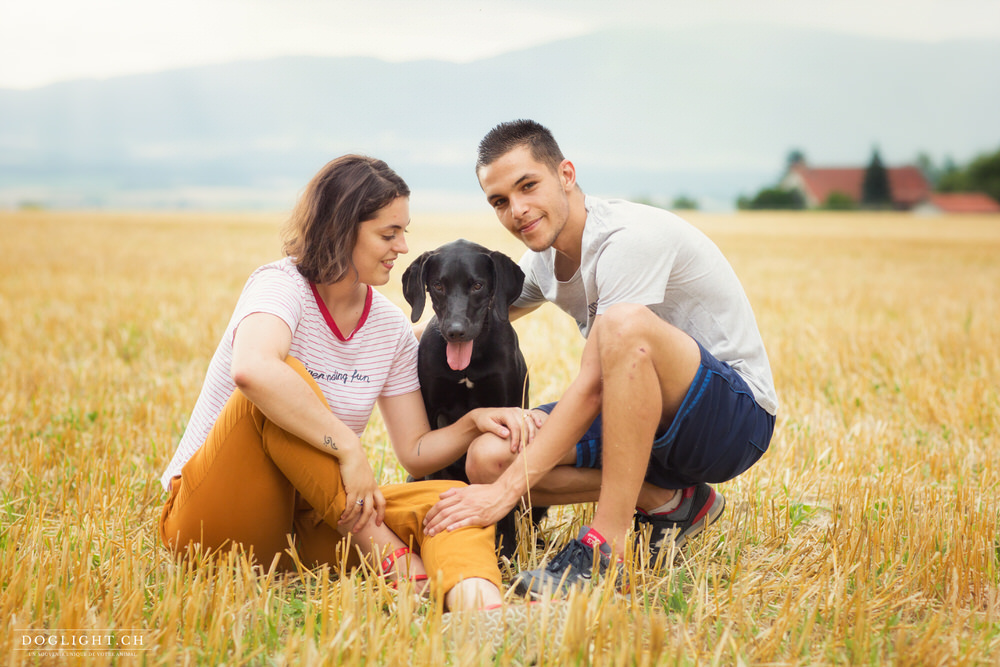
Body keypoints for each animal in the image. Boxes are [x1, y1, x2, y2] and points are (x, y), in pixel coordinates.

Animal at [400, 239, 548, 560]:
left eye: (478, 285)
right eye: (438, 285)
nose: (455, 332)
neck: (468, 365)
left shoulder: (508, 410)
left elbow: (504, 507)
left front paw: (507, 553)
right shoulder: (429, 417)